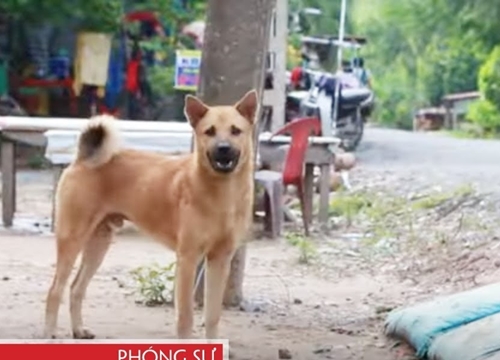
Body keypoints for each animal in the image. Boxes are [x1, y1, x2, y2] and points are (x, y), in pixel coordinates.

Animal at [44, 88, 258, 338]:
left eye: (235, 130)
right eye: (210, 131)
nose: (223, 148)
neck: (222, 193)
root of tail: (83, 159)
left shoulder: (220, 259)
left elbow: (213, 316)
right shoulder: (188, 259)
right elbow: (185, 318)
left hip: (99, 243)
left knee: (76, 288)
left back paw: (78, 330)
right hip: (72, 239)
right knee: (55, 290)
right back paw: (48, 334)